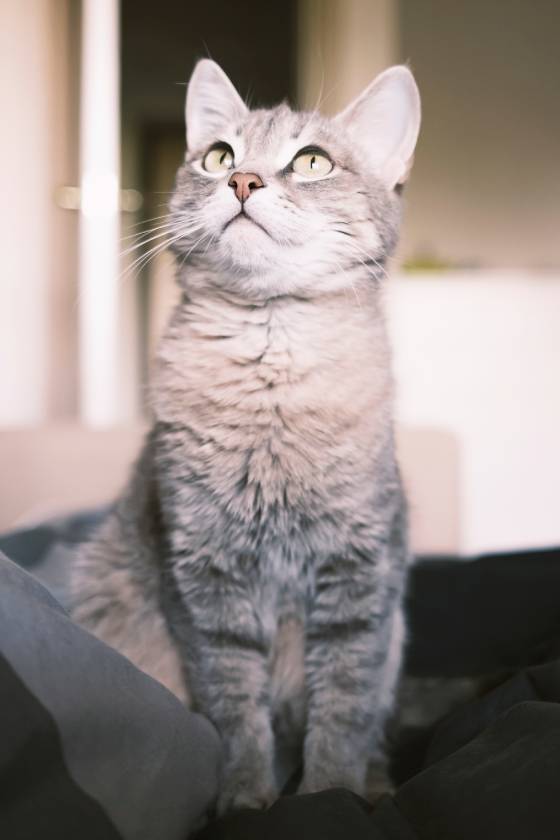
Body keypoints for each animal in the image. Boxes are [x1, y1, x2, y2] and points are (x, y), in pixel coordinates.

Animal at [72, 59, 420, 812]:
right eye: (218, 156)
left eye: (312, 161)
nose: (242, 182)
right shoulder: (205, 579)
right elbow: (236, 708)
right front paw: (246, 794)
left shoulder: (359, 579)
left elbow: (342, 709)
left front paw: (331, 795)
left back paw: (378, 782)